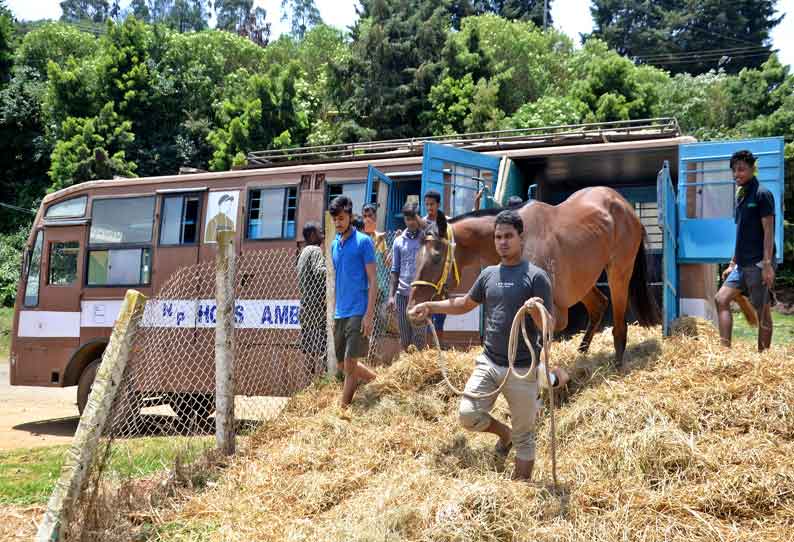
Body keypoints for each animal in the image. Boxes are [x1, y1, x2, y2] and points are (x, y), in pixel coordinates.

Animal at [412, 185, 660, 368]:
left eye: (436, 257)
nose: (413, 306)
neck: (520, 241)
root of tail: (623, 204)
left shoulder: (553, 312)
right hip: (582, 282)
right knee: (599, 305)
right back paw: (581, 356)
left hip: (618, 272)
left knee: (619, 324)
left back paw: (617, 363)